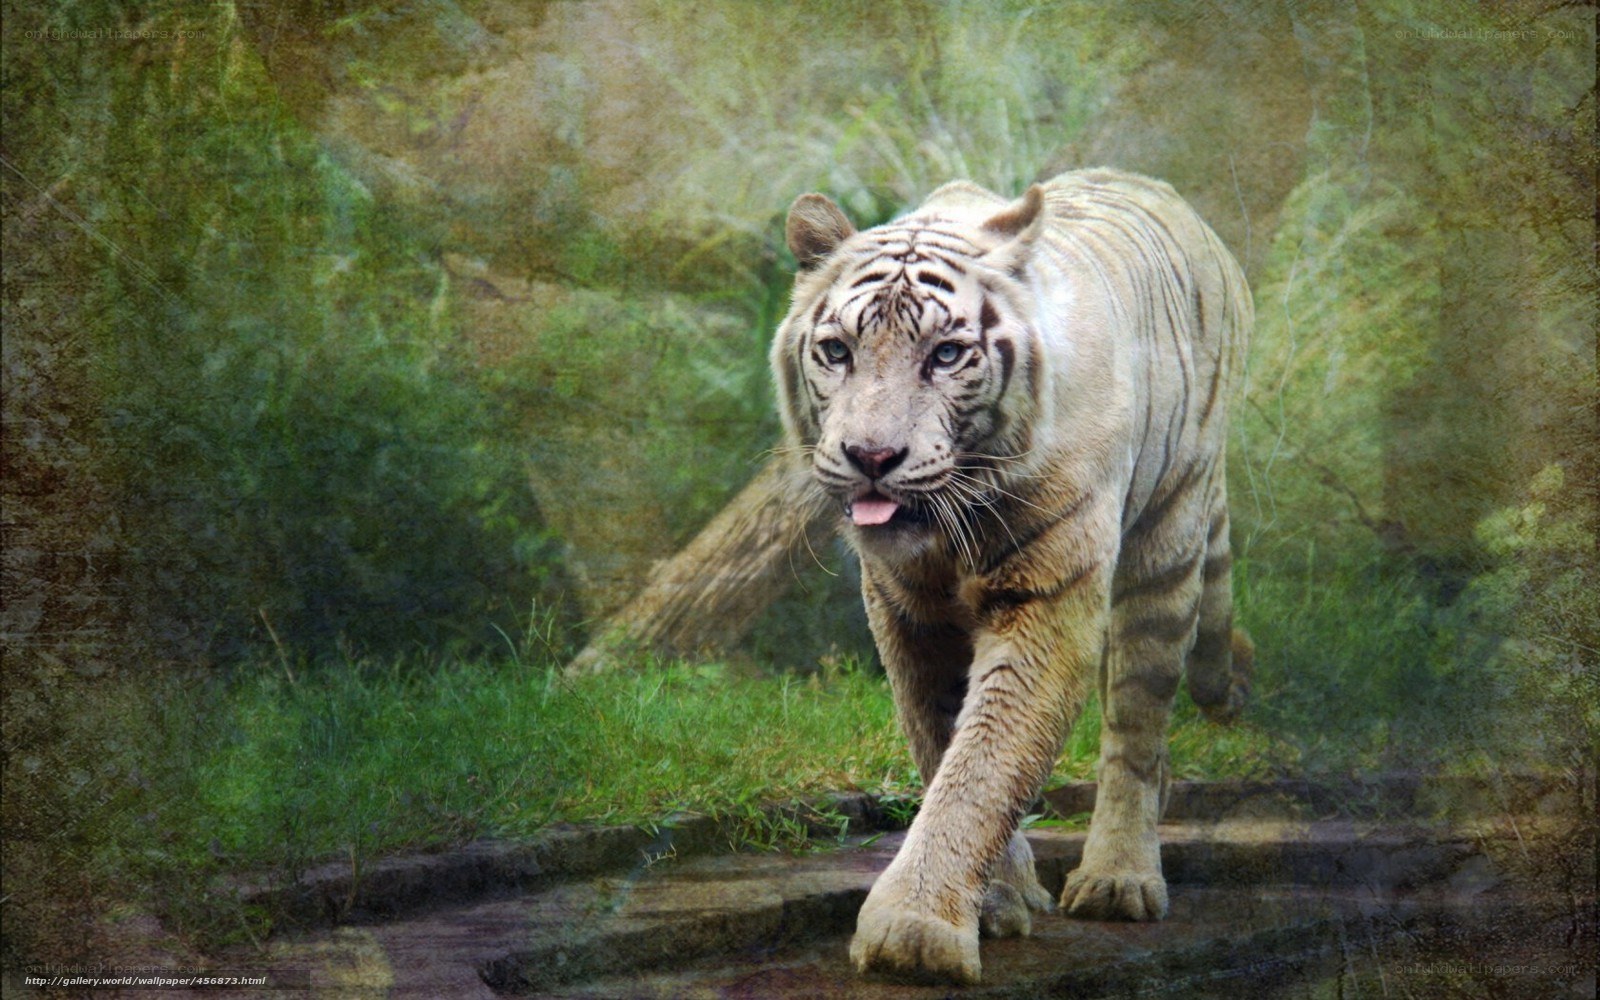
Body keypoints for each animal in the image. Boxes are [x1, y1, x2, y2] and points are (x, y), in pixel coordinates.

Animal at [769, 168, 1254, 984]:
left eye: (946, 355)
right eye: (836, 351)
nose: (872, 457)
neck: (947, 531)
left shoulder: (1047, 604)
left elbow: (987, 762)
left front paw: (914, 936)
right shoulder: (907, 613)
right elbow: (943, 747)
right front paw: (996, 902)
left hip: (1169, 538)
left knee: (1137, 730)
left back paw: (1118, 880)